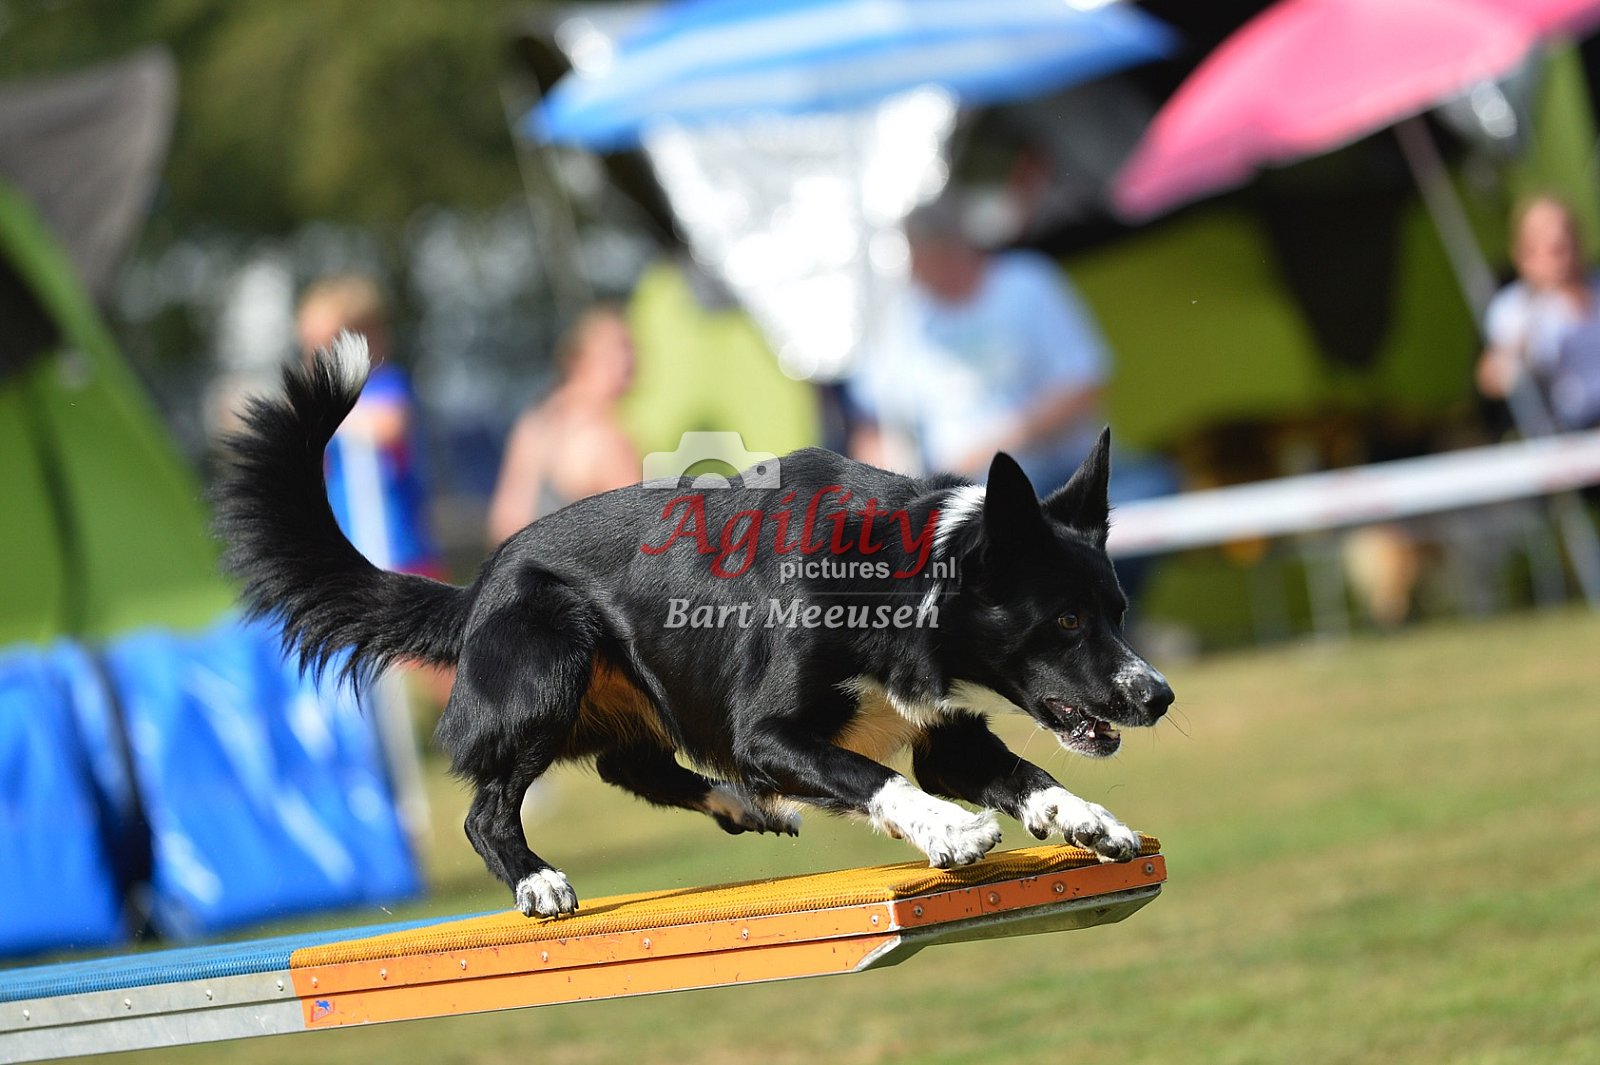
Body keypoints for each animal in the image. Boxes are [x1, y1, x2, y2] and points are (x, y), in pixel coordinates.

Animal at [215, 334, 1174, 918]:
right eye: (1065, 618)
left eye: (1118, 611)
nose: (1157, 696)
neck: (901, 583)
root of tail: (479, 583)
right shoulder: (766, 729)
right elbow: (873, 775)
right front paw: (952, 829)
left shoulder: (944, 731)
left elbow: (1026, 773)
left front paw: (1090, 822)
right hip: (551, 661)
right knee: (488, 810)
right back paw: (539, 881)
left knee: (628, 763)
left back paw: (742, 804)